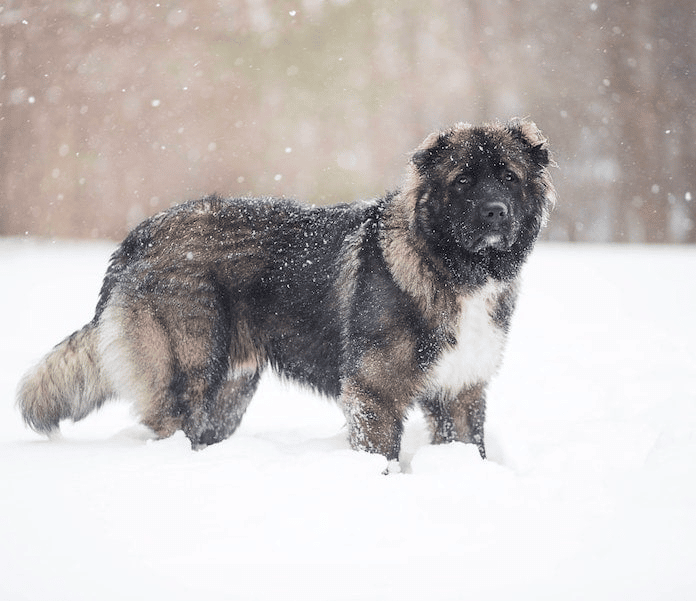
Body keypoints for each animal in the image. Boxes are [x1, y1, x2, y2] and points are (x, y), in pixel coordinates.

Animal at [16, 119, 556, 466]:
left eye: (508, 176)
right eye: (463, 179)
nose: (495, 213)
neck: (453, 267)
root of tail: (140, 236)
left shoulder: (461, 391)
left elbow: (470, 448)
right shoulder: (375, 393)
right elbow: (382, 456)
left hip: (231, 392)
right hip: (189, 375)